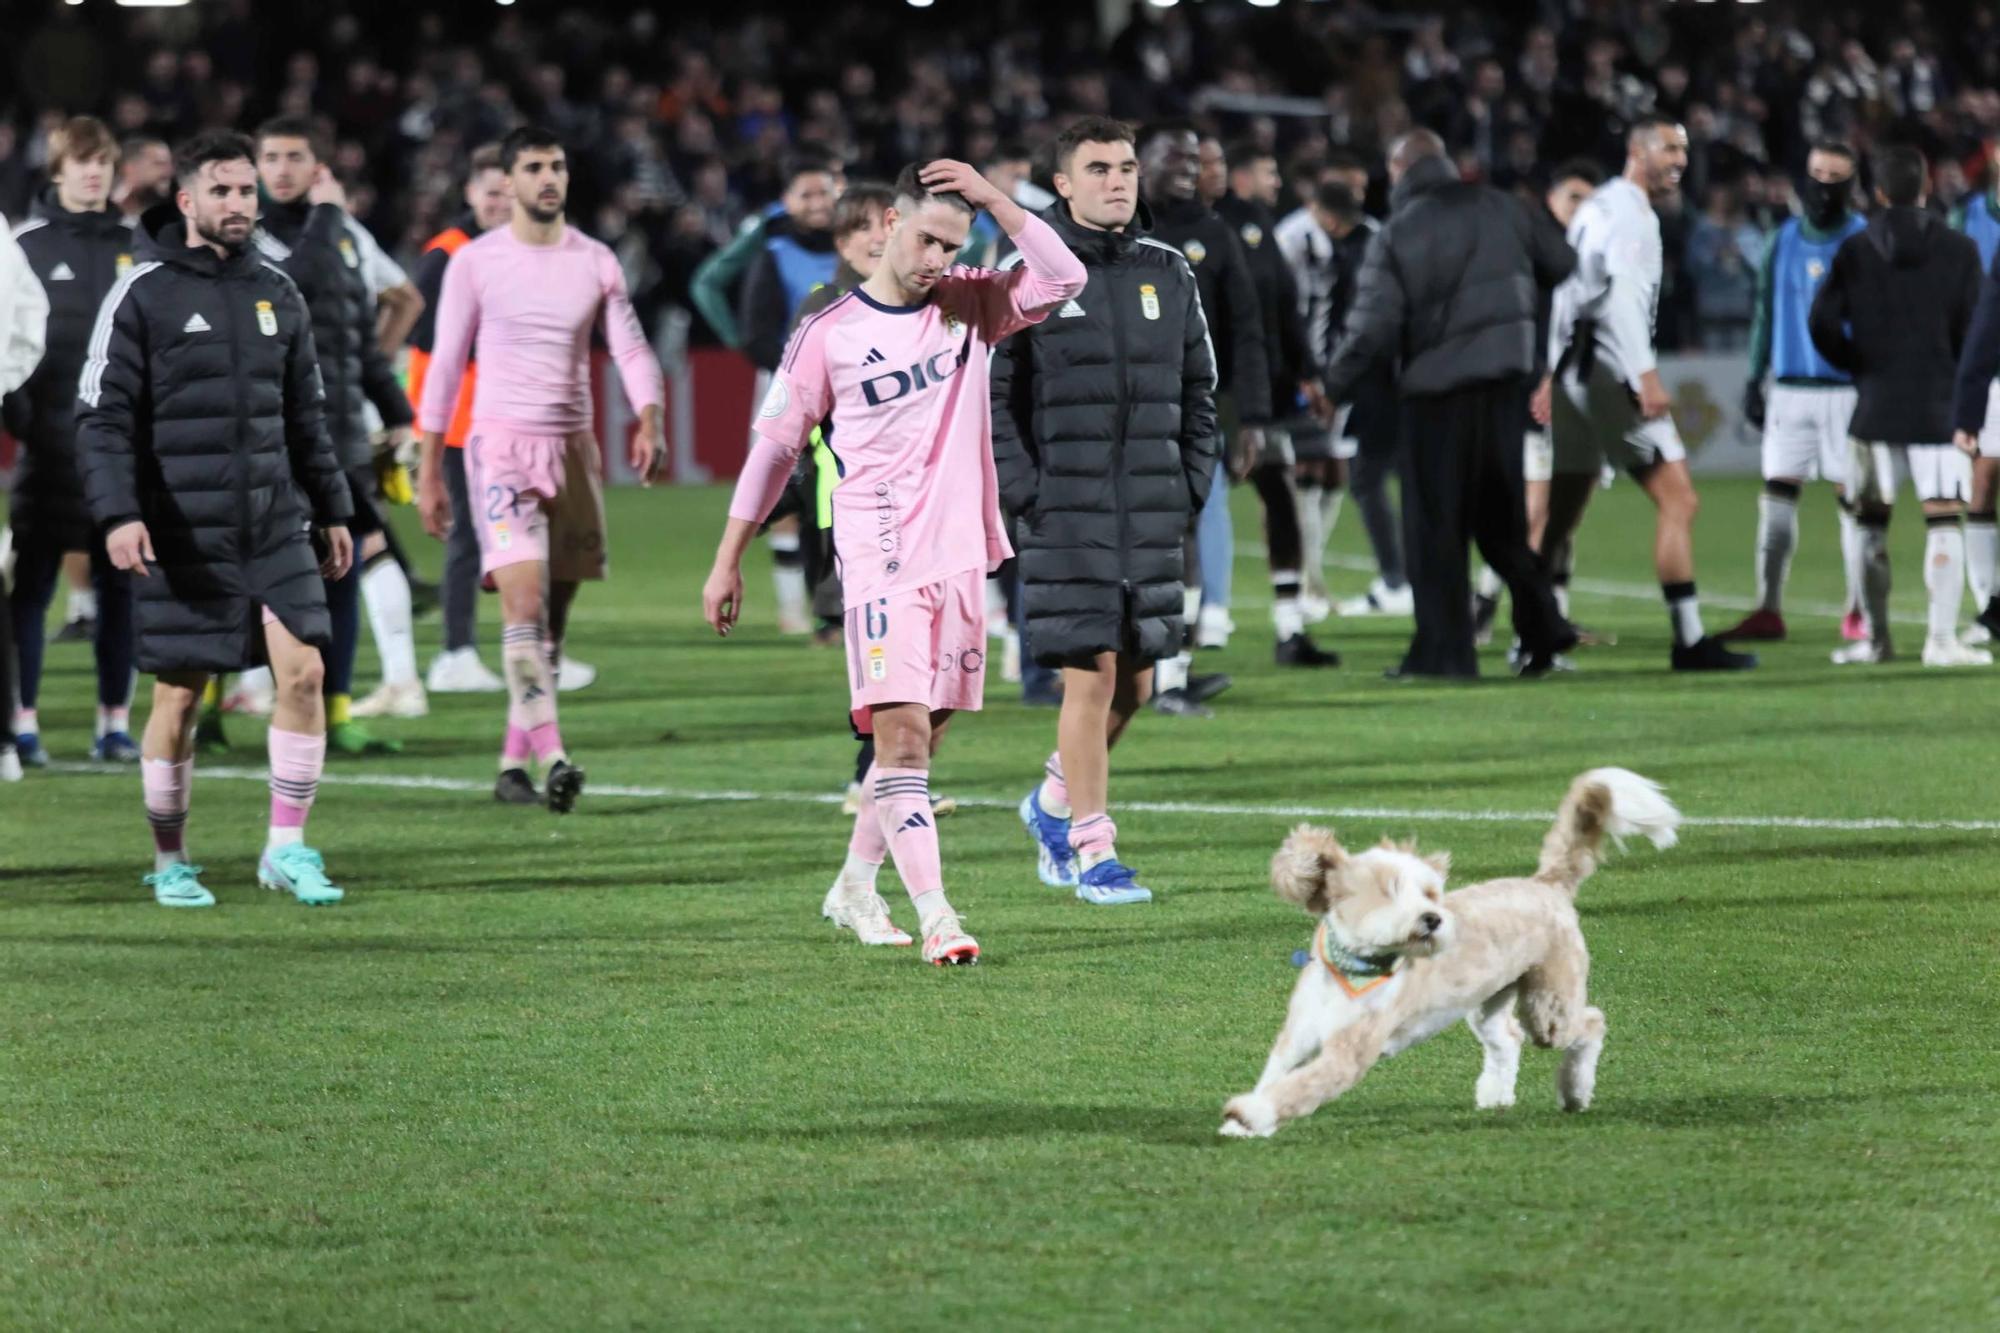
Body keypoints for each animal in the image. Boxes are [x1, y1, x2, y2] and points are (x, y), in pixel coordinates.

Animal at [1216, 768, 1672, 1128]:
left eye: (1429, 892)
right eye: (1388, 892)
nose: (1432, 918)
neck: (1354, 969)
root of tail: (1546, 884)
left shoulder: (1349, 1053)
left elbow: (1297, 1088)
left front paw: (1250, 1114)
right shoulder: (1297, 1037)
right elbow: (1275, 1076)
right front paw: (1245, 1118)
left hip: (1549, 1001)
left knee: (1590, 1023)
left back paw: (1575, 1092)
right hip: (1489, 997)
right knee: (1507, 1037)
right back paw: (1495, 1094)